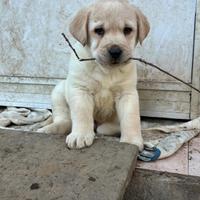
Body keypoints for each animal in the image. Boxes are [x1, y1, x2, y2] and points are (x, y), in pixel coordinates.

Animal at [38, 0, 149, 150]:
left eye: (127, 30)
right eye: (99, 30)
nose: (115, 51)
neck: (105, 70)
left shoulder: (127, 93)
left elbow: (130, 118)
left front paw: (131, 140)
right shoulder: (80, 90)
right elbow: (82, 114)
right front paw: (80, 135)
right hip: (59, 91)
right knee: (65, 120)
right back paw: (50, 129)